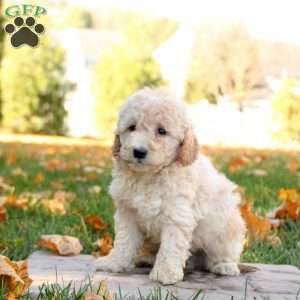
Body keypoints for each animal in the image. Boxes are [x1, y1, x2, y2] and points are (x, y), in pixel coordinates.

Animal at [96, 88, 246, 284]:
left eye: (162, 131)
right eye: (131, 127)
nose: (138, 151)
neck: (149, 175)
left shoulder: (177, 215)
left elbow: (171, 246)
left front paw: (165, 272)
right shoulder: (128, 212)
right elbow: (124, 240)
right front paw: (114, 262)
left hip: (225, 230)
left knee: (222, 253)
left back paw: (224, 265)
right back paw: (146, 258)